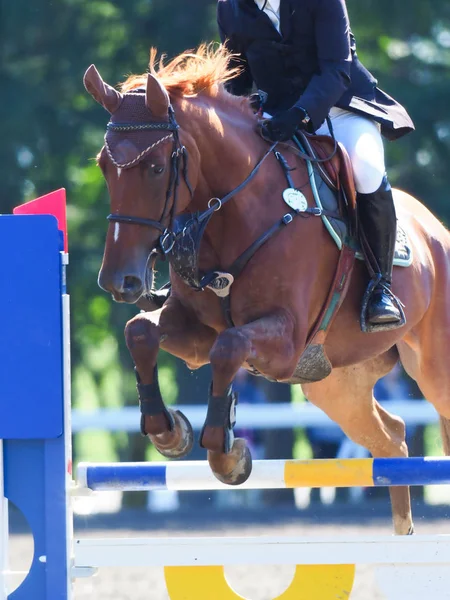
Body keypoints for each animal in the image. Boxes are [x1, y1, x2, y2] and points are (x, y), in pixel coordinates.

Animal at [83, 47, 450, 536]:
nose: (118, 281)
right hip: (337, 382)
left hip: (433, 369)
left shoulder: (286, 341)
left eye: (157, 168)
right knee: (391, 440)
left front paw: (226, 455)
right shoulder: (194, 332)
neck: (232, 213)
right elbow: (141, 333)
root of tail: (437, 230)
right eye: (103, 167)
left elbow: (229, 347)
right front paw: (170, 432)